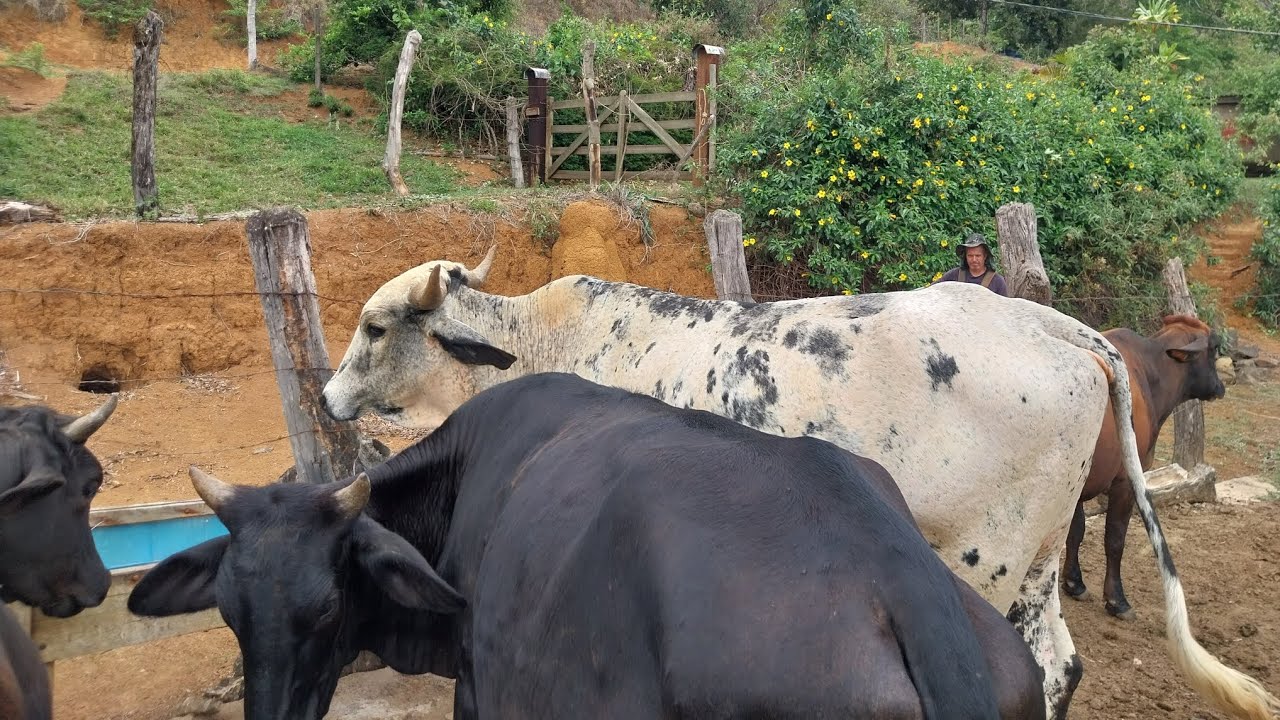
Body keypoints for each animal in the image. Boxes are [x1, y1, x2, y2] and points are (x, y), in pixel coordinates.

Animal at [1063, 315, 1226, 620]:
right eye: (1213, 349)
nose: (1220, 387)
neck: (1149, 375)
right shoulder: (1126, 480)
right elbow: (1114, 539)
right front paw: (1117, 599)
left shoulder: (1080, 481)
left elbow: (1075, 531)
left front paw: (1073, 583)